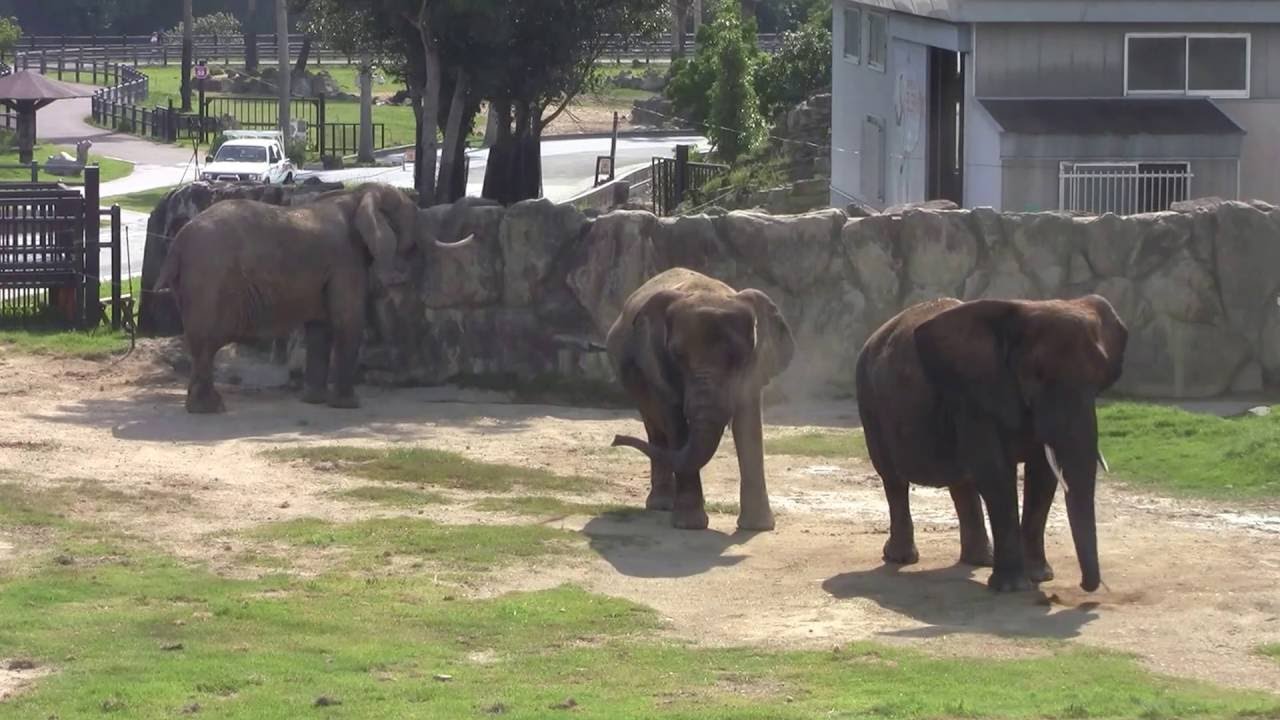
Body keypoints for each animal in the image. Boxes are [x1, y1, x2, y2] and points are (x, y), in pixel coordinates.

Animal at [156, 181, 476, 412]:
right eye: (414, 216)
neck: (357, 196)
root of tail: (178, 243)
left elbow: (320, 328)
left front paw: (314, 401)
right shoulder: (345, 259)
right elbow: (348, 322)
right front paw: (349, 405)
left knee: (201, 343)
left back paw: (201, 405)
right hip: (211, 277)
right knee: (208, 341)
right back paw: (210, 408)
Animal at [604, 266, 793, 530]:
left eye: (739, 358)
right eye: (677, 355)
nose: (615, 439)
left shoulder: (756, 367)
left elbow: (749, 425)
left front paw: (758, 527)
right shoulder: (657, 362)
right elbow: (675, 422)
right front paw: (689, 525)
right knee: (656, 428)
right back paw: (662, 505)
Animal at [855, 294, 1126, 591]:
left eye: (1099, 378)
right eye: (1037, 373)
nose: (1085, 586)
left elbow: (1042, 476)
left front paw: (1039, 577)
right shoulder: (972, 396)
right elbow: (995, 472)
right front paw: (1013, 587)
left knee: (961, 481)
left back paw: (980, 560)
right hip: (869, 400)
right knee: (893, 479)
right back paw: (901, 558)